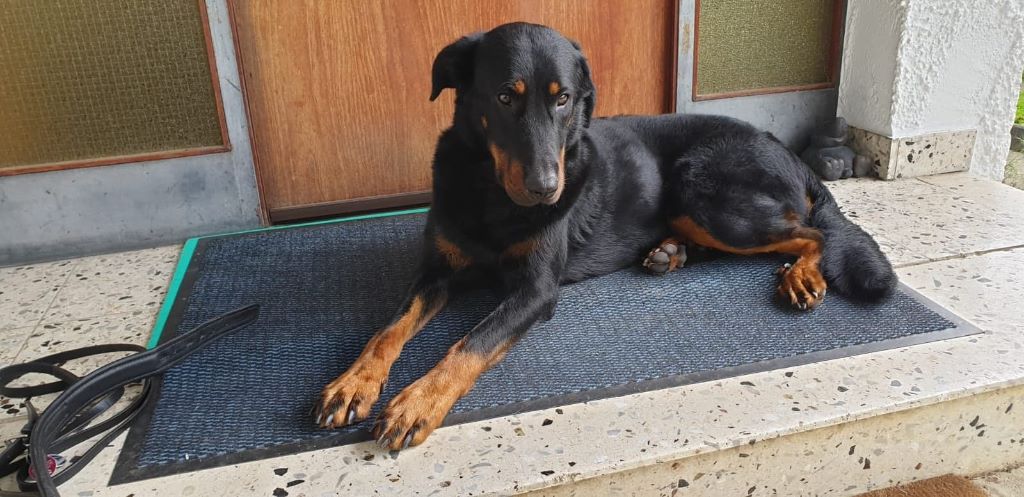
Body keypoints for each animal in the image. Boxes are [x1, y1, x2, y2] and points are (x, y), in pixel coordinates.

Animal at [314, 22, 896, 450]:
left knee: (813, 233)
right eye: (504, 97)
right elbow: (388, 330)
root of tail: (785, 149)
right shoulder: (436, 272)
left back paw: (799, 276)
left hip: (702, 191)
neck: (491, 190)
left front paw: (417, 401)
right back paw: (669, 253)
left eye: (564, 99)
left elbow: (469, 343)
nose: (546, 189)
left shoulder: (535, 291)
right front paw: (354, 384)